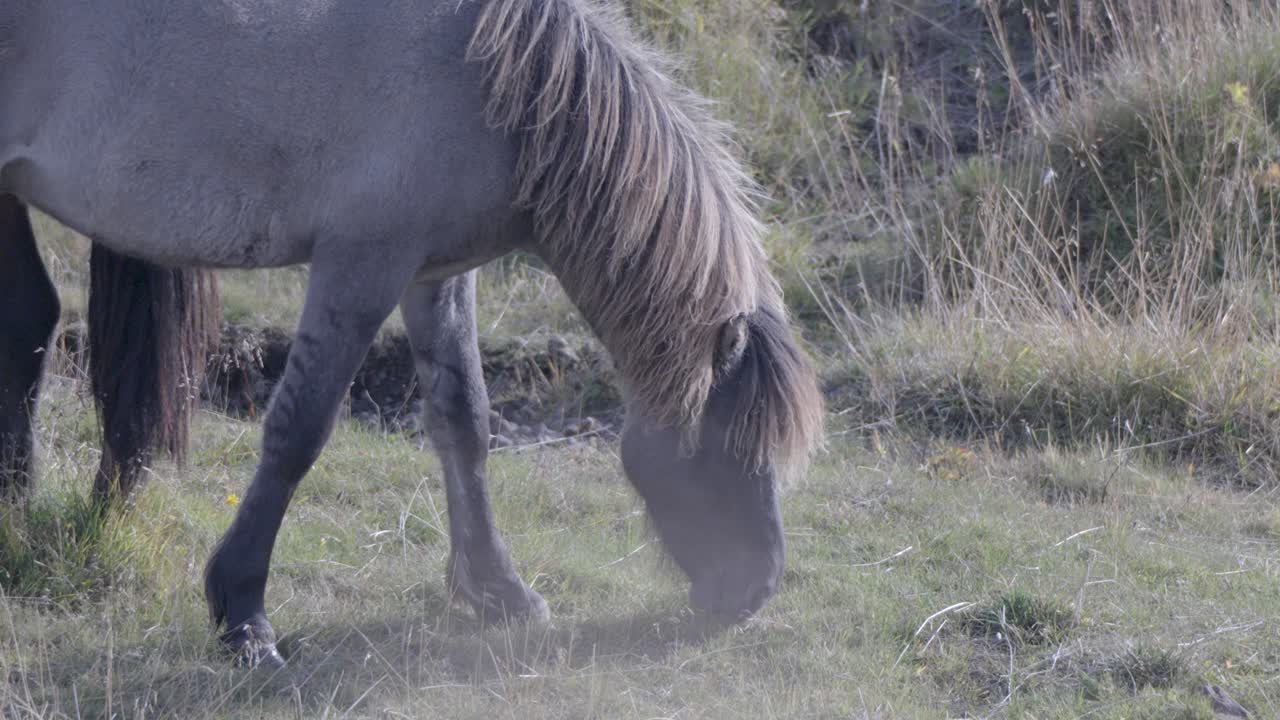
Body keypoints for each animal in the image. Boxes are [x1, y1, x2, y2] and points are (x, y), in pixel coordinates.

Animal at [0, 0, 824, 667]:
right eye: (725, 448)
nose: (755, 590)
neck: (485, 77)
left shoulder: (436, 276)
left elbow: (466, 421)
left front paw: (498, 590)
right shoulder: (361, 268)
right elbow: (298, 432)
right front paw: (243, 615)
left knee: (27, 317)